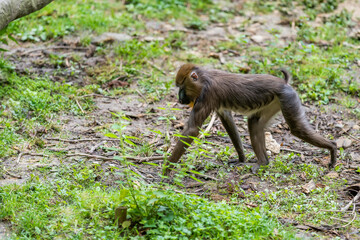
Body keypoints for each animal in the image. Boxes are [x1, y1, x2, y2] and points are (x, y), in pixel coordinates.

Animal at [167, 63, 336, 172]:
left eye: (182, 88)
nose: (180, 98)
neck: (204, 78)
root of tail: (283, 83)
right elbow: (227, 118)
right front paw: (241, 159)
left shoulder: (206, 96)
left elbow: (192, 130)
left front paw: (165, 172)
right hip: (274, 102)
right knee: (254, 123)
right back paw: (263, 163)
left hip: (287, 99)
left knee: (297, 129)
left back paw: (333, 147)